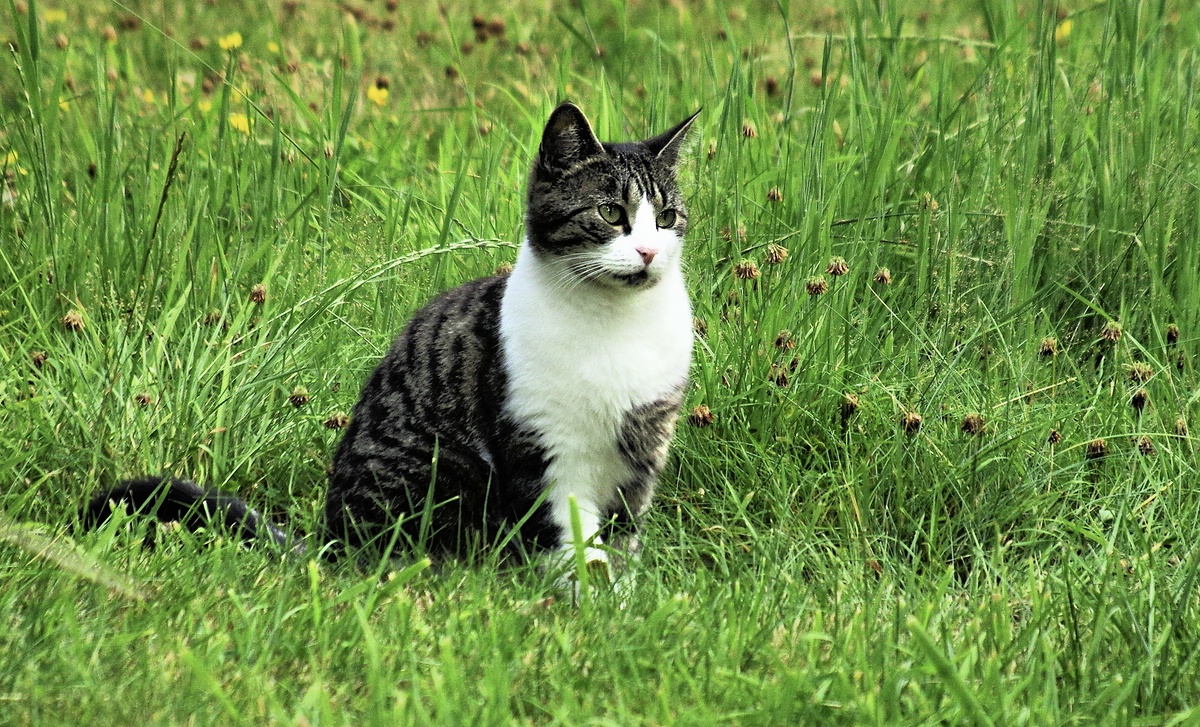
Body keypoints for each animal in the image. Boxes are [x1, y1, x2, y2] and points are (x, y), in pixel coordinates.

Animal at [84, 103, 700, 580]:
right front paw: (588, 604)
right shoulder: (544, 450)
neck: (615, 326)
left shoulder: (642, 453)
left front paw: (619, 605)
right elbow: (569, 542)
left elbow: (622, 543)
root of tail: (331, 544)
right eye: (611, 212)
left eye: (668, 217)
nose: (648, 251)